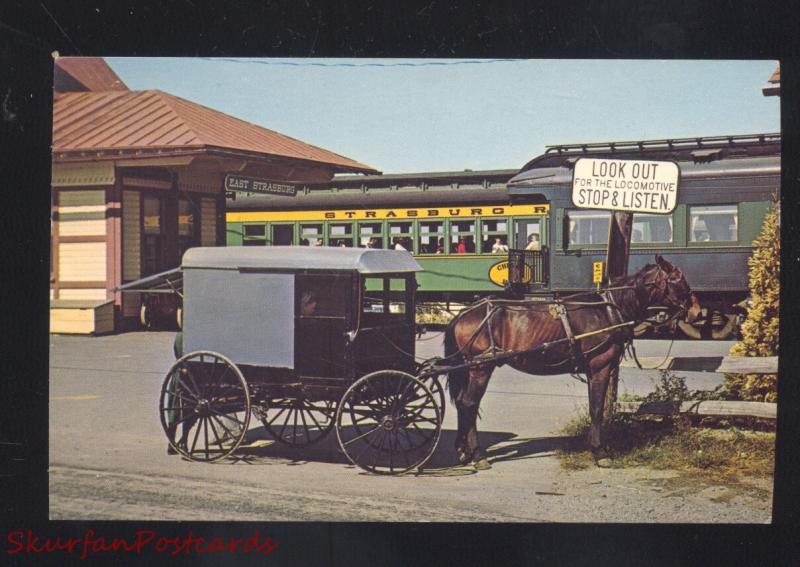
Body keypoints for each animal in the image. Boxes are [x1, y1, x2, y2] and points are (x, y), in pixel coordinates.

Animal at [444, 255, 700, 468]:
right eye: (679, 279)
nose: (696, 311)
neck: (607, 310)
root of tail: (463, 314)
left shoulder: (594, 370)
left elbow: (594, 407)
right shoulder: (600, 366)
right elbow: (596, 409)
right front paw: (599, 452)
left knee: (463, 403)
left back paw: (464, 450)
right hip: (481, 367)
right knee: (469, 403)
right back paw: (478, 455)